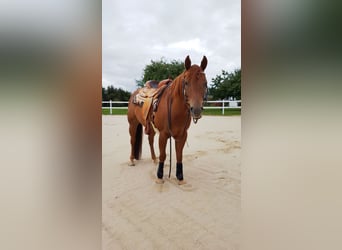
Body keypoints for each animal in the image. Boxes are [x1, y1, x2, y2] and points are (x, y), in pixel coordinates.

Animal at [127, 55, 207, 184]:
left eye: (205, 83)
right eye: (186, 82)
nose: (196, 110)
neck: (175, 109)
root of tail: (135, 93)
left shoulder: (182, 135)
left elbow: (179, 155)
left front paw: (180, 177)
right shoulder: (164, 134)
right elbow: (163, 155)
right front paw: (159, 176)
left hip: (151, 128)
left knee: (150, 141)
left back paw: (154, 159)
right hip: (132, 124)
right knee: (133, 141)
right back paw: (132, 160)